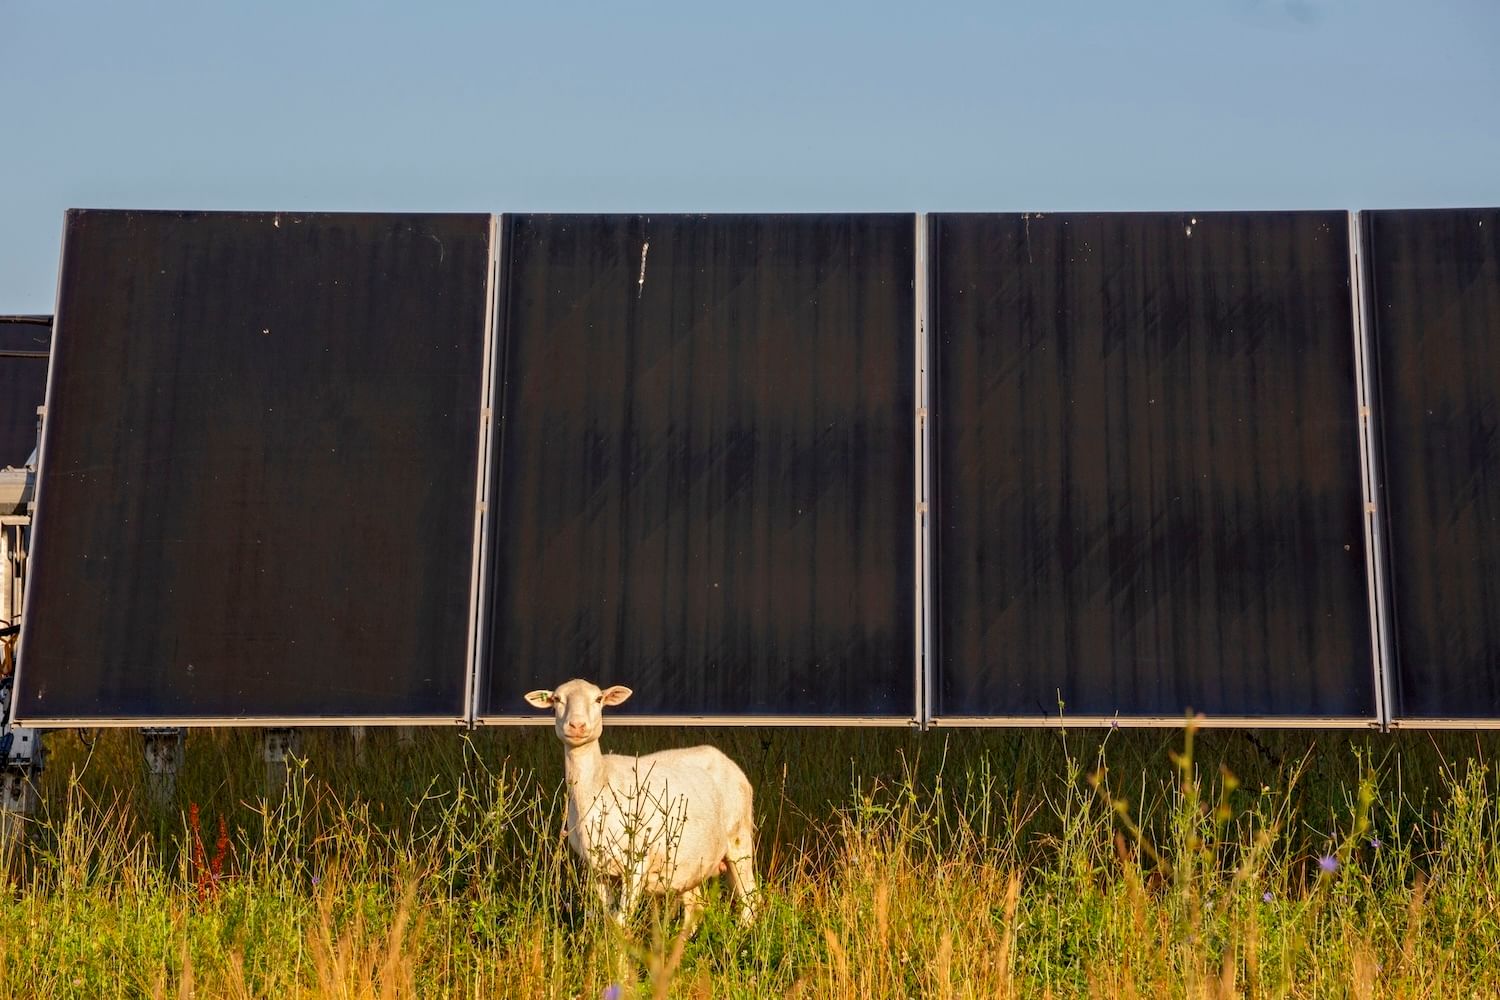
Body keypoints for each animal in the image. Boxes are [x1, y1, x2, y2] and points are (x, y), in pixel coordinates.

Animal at [525, 679, 759, 932]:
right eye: (557, 700)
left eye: (598, 699)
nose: (577, 725)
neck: (599, 782)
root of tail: (728, 762)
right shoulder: (597, 870)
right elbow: (610, 920)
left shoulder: (636, 863)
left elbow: (621, 921)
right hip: (690, 862)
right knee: (695, 907)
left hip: (739, 837)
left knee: (750, 898)